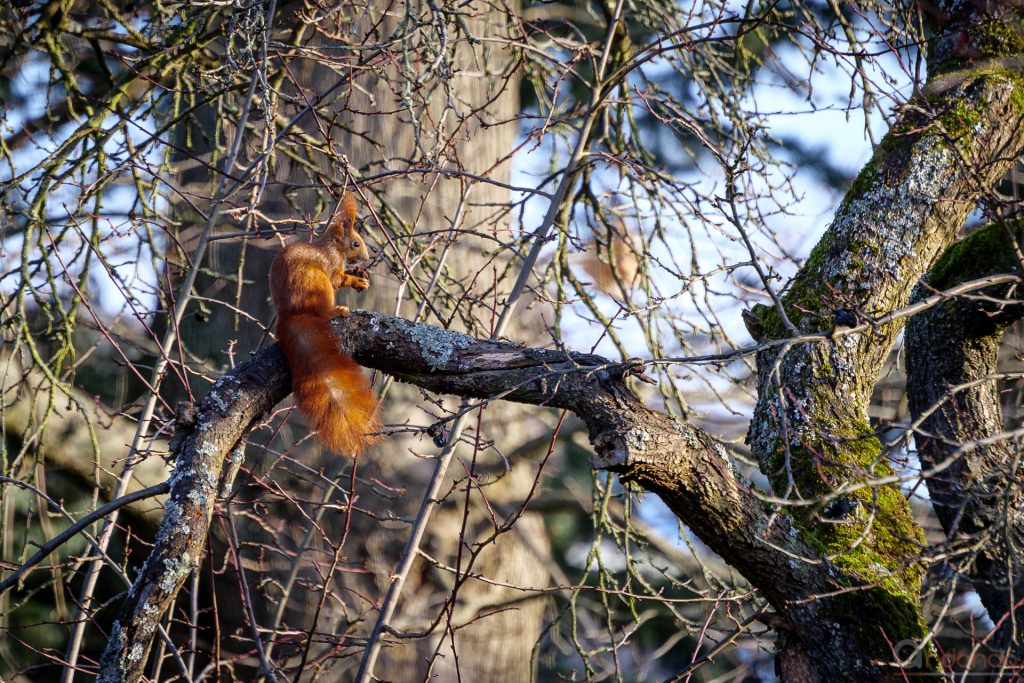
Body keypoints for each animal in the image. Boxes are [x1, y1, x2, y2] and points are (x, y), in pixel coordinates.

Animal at [270, 192, 382, 456]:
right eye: (355, 243)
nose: (366, 258)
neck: (332, 247)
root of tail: (291, 314)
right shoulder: (330, 266)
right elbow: (338, 279)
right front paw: (356, 280)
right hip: (317, 284)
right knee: (322, 311)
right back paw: (336, 311)